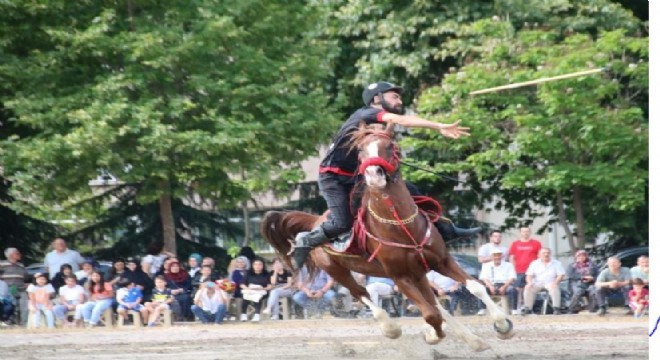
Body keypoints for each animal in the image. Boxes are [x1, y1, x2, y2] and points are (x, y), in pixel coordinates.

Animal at [260, 122, 512, 350]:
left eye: (390, 146)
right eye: (360, 150)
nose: (373, 175)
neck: (401, 226)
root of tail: (315, 222)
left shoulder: (441, 261)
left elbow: (475, 287)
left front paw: (502, 325)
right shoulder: (400, 276)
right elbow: (431, 314)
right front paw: (433, 334)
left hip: (418, 271)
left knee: (433, 302)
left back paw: (473, 340)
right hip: (336, 270)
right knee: (361, 293)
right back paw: (391, 328)